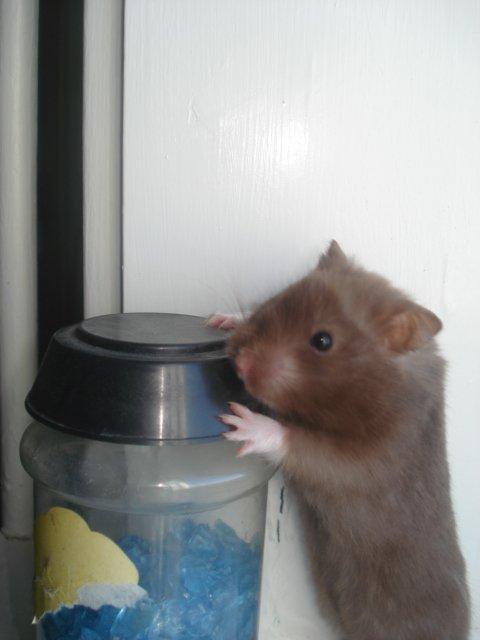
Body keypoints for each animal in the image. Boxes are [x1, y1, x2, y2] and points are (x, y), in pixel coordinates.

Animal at [208, 241, 470, 640]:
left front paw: (240, 423)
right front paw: (221, 319)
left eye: (323, 340)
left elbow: (304, 447)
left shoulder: (371, 458)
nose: (241, 364)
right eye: (280, 298)